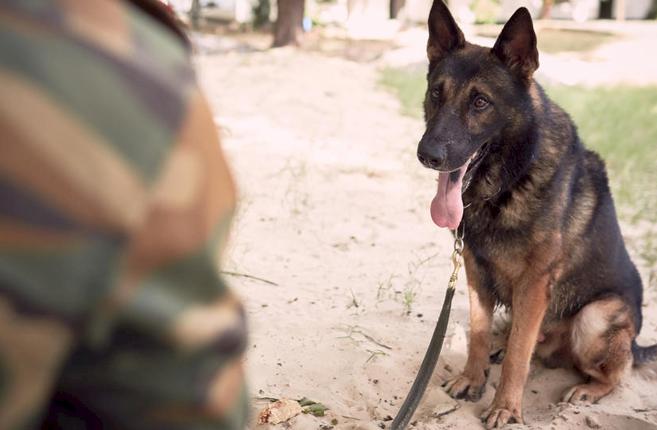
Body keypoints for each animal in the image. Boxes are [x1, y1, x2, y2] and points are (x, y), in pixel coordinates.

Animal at [418, 1, 652, 428]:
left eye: (480, 102)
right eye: (435, 94)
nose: (428, 155)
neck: (511, 178)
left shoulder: (534, 284)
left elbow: (518, 358)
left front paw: (505, 408)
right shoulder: (475, 273)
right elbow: (478, 333)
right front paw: (472, 379)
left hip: (594, 318)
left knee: (614, 374)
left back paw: (587, 390)